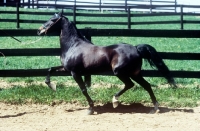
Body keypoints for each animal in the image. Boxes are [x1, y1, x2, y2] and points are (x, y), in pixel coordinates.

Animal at [36, 10, 176, 114]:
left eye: (52, 20)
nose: (39, 30)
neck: (73, 45)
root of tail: (136, 48)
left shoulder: (75, 73)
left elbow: (83, 89)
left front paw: (91, 108)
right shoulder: (66, 69)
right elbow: (50, 69)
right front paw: (52, 86)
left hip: (120, 72)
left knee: (130, 84)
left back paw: (115, 100)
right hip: (135, 73)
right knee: (146, 85)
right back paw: (155, 108)